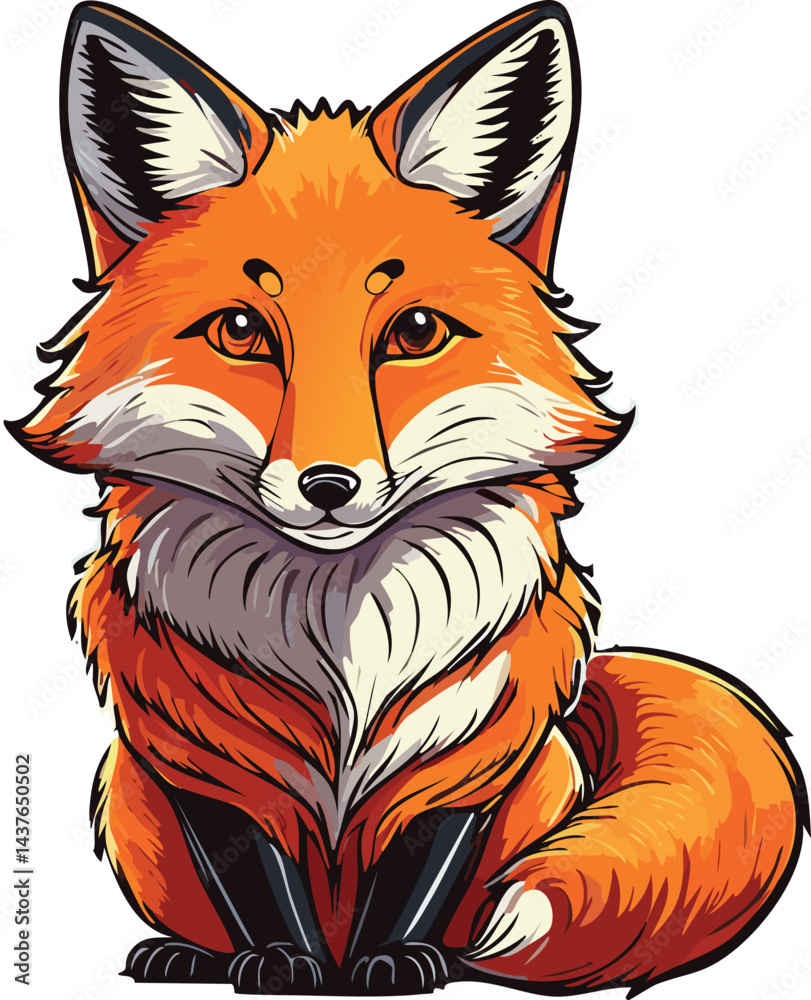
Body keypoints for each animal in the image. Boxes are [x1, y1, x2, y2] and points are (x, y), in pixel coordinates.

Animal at [9, 1, 807, 995]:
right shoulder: (203, 759)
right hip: (129, 799)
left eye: (415, 332)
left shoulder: (472, 750)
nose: (329, 486)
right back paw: (194, 954)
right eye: (240, 331)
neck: (339, 641)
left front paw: (394, 959)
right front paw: (282, 960)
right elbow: (256, 877)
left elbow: (422, 868)